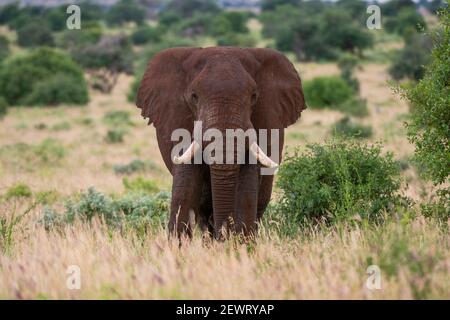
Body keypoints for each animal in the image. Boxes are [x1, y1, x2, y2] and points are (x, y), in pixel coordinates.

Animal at [136, 46, 306, 239]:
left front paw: (240, 243)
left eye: (254, 96)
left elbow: (247, 187)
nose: (224, 234)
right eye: (194, 96)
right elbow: (185, 186)